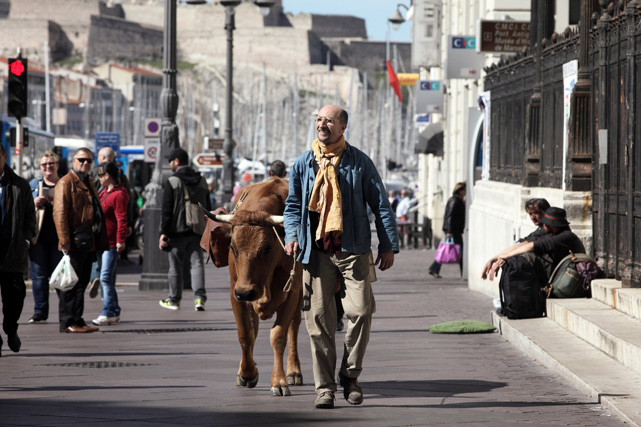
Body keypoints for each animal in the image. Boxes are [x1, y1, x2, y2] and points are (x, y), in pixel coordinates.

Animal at [201, 178, 304, 398]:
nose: (245, 291)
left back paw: (294, 371)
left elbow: (279, 335)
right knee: (254, 329)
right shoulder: (235, 292)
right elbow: (245, 334)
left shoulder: (292, 292)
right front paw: (247, 373)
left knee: (294, 326)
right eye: (232, 247)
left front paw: (279, 381)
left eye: (267, 248)